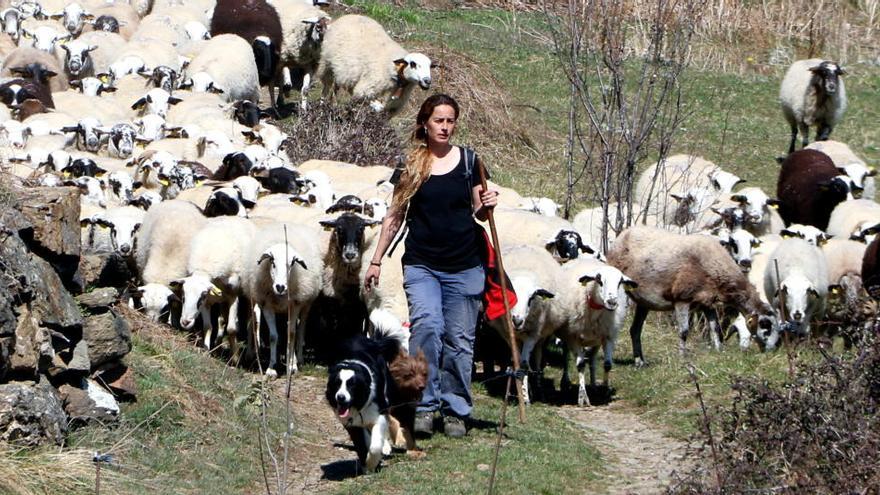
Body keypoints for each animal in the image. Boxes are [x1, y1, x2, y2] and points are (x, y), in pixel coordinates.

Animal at [242, 221, 322, 376]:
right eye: (272, 262)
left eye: (292, 263)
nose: (280, 287)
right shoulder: (266, 305)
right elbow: (274, 337)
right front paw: (272, 368)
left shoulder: (295, 305)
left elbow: (291, 334)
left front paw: (291, 366)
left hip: (306, 304)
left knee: (300, 329)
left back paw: (298, 359)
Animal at [556, 258, 632, 404]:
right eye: (599, 280)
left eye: (620, 282)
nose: (612, 302)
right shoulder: (573, 337)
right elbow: (580, 365)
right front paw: (582, 398)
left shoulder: (609, 336)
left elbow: (607, 364)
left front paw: (605, 391)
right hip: (567, 336)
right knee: (565, 356)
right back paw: (565, 382)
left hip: (596, 339)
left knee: (592, 360)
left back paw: (593, 386)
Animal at [604, 225, 776, 364]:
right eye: (765, 325)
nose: (770, 351)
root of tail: (622, 235)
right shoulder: (682, 299)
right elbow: (684, 331)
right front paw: (682, 357)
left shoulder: (707, 302)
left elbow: (715, 329)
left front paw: (720, 352)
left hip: (644, 300)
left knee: (635, 330)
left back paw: (639, 362)